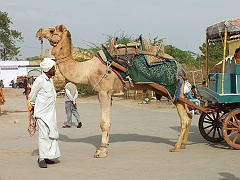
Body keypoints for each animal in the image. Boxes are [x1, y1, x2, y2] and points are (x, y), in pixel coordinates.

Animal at [36, 24, 193, 158]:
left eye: (51, 30)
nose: (39, 31)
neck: (87, 69)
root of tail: (180, 66)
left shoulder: (104, 91)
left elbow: (104, 122)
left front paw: (101, 151)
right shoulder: (106, 93)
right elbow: (109, 121)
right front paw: (105, 146)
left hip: (172, 90)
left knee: (184, 118)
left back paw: (176, 147)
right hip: (177, 92)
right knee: (189, 114)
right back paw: (183, 144)